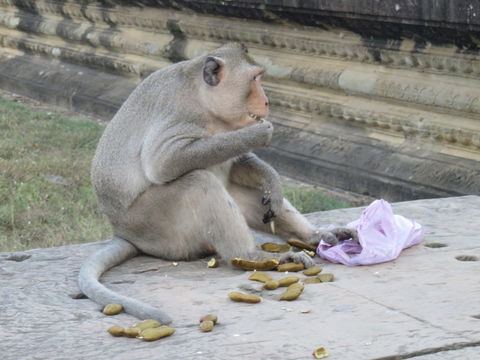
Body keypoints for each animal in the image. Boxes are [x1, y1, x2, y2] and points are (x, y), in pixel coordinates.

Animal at [79, 43, 356, 324]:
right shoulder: (182, 116)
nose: (267, 101)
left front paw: (272, 181)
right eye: (255, 78)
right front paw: (255, 134)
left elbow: (240, 166)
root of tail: (123, 232)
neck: (205, 102)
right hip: (156, 226)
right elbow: (162, 163)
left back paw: (312, 236)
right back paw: (251, 256)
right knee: (199, 181)